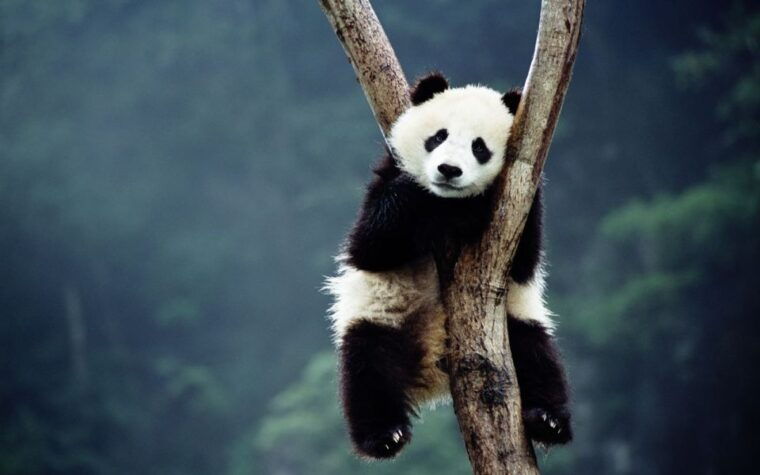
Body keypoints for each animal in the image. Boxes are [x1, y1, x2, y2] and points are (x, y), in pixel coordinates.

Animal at [325, 72, 571, 459]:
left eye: (479, 147)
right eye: (438, 137)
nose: (448, 170)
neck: (447, 202)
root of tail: (432, 371)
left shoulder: (520, 201)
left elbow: (524, 261)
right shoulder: (387, 177)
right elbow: (370, 244)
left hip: (514, 324)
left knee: (538, 357)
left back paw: (548, 420)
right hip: (381, 318)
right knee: (368, 370)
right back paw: (384, 435)